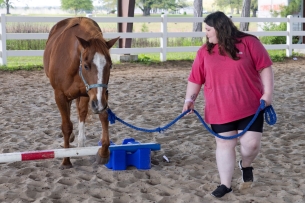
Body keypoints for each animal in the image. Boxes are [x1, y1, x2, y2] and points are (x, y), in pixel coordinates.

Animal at [42, 17, 119, 170]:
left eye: (110, 65)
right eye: (86, 66)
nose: (98, 104)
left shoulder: (98, 95)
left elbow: (103, 116)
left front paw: (103, 153)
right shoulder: (60, 95)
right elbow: (66, 126)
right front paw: (66, 160)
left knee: (81, 113)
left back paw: (80, 142)